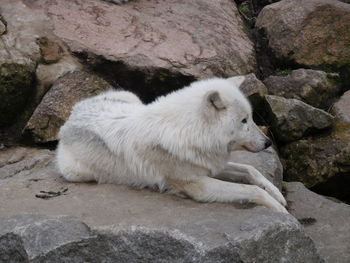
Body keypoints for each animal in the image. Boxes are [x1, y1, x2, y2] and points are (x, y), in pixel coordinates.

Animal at [56, 77, 288, 214]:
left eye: (251, 117)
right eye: (243, 121)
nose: (268, 142)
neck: (192, 131)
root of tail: (72, 115)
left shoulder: (208, 164)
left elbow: (251, 170)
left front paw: (278, 194)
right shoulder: (199, 185)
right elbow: (251, 189)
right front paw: (279, 209)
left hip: (131, 96)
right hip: (76, 173)